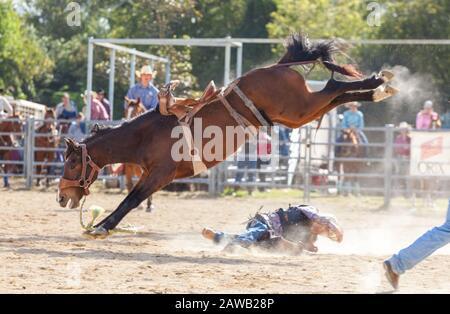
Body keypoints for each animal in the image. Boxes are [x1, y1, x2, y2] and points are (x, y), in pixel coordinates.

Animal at [57, 33, 398, 238]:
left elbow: (131, 199)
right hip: (299, 114)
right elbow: (132, 197)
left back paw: (379, 81)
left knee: (333, 86)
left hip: (300, 108)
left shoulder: (161, 173)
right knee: (336, 95)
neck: (147, 134)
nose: (61, 197)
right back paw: (380, 88)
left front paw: (101, 227)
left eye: (72, 163)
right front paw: (100, 224)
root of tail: (278, 66)